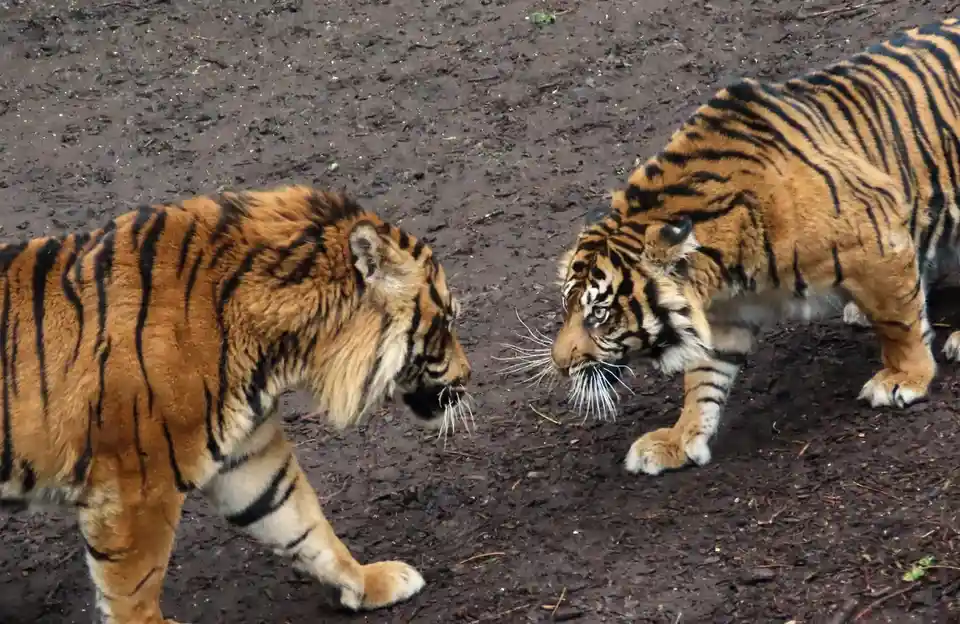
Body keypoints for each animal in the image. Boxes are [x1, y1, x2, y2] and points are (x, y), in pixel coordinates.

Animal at [0, 185, 472, 623]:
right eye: (446, 321)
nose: (468, 378)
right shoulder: (135, 486)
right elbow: (134, 585)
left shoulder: (248, 455)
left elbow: (302, 523)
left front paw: (369, 582)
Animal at [548, 17, 960, 477]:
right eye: (567, 307)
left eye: (599, 315)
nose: (560, 365)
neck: (726, 271)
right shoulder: (724, 315)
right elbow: (703, 379)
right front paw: (679, 439)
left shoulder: (877, 239)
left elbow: (897, 323)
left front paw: (905, 377)